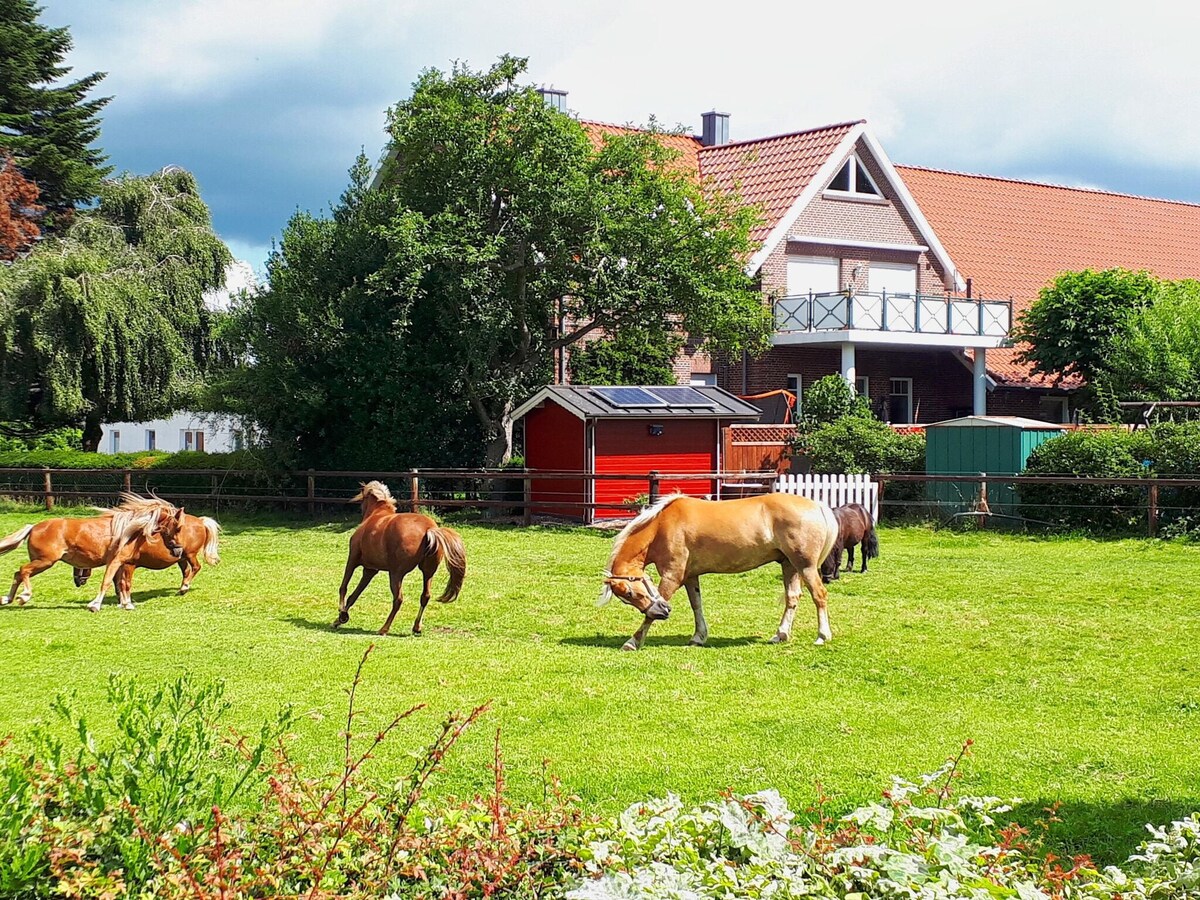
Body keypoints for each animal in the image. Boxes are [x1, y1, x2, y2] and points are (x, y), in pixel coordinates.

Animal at [0, 494, 186, 614]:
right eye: (178, 528)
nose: (179, 550)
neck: (129, 530)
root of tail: (34, 527)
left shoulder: (122, 563)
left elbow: (122, 584)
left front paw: (127, 604)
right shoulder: (116, 561)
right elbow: (107, 583)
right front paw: (95, 605)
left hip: (42, 562)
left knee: (17, 573)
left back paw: (7, 599)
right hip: (45, 561)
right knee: (23, 570)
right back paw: (24, 596)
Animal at [72, 513, 223, 607]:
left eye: (79, 563)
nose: (77, 582)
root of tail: (201, 521)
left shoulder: (127, 564)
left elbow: (122, 582)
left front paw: (123, 600)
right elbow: (118, 581)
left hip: (190, 555)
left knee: (196, 567)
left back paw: (185, 587)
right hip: (181, 557)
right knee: (186, 572)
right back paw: (182, 589)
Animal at [338, 482, 472, 638]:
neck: (377, 514)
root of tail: (429, 529)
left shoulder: (352, 560)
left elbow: (344, 587)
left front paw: (341, 615)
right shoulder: (370, 570)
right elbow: (354, 594)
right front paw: (341, 617)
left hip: (396, 574)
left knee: (398, 599)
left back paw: (384, 628)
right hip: (428, 572)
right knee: (425, 596)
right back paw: (416, 627)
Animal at [597, 489, 835, 652]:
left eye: (629, 592)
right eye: (626, 598)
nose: (663, 612)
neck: (661, 526)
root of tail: (816, 506)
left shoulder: (673, 576)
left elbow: (651, 615)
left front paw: (632, 642)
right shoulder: (690, 576)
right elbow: (696, 605)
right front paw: (698, 637)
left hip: (805, 566)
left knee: (819, 595)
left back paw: (822, 636)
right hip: (789, 565)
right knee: (792, 597)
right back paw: (781, 634)